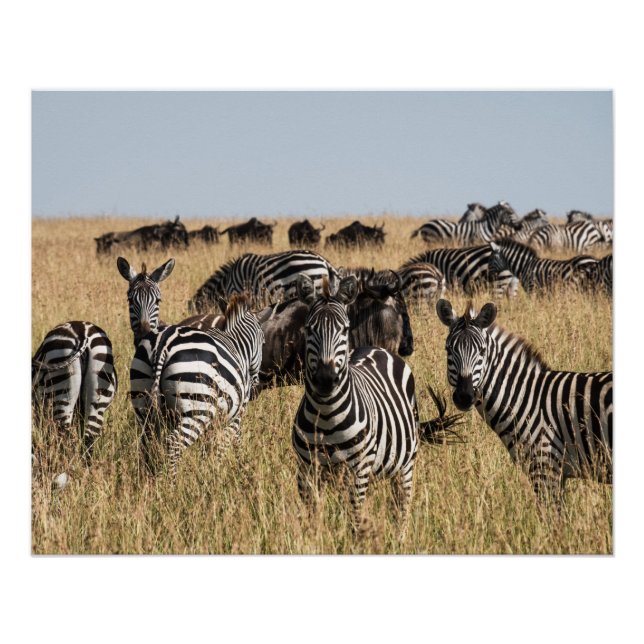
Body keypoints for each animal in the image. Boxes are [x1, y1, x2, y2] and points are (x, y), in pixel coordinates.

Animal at [131, 294, 265, 477]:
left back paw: (148, 480)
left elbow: (209, 448)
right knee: (173, 444)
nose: (256, 386)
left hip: (143, 403)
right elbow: (225, 445)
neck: (236, 345)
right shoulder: (235, 415)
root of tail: (163, 342)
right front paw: (218, 473)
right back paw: (172, 482)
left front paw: (207, 472)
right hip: (197, 409)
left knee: (148, 444)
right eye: (263, 341)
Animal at [292, 274, 462, 533]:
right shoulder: (306, 470)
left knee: (401, 508)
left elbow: (354, 519)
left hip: (404, 466)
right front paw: (316, 538)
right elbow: (312, 520)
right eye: (310, 329)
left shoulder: (358, 469)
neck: (326, 414)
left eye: (345, 329)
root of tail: (377, 348)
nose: (326, 379)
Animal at [436, 299, 612, 504]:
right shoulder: (555, 473)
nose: (464, 396)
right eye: (448, 349)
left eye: (482, 351)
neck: (525, 397)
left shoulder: (545, 467)